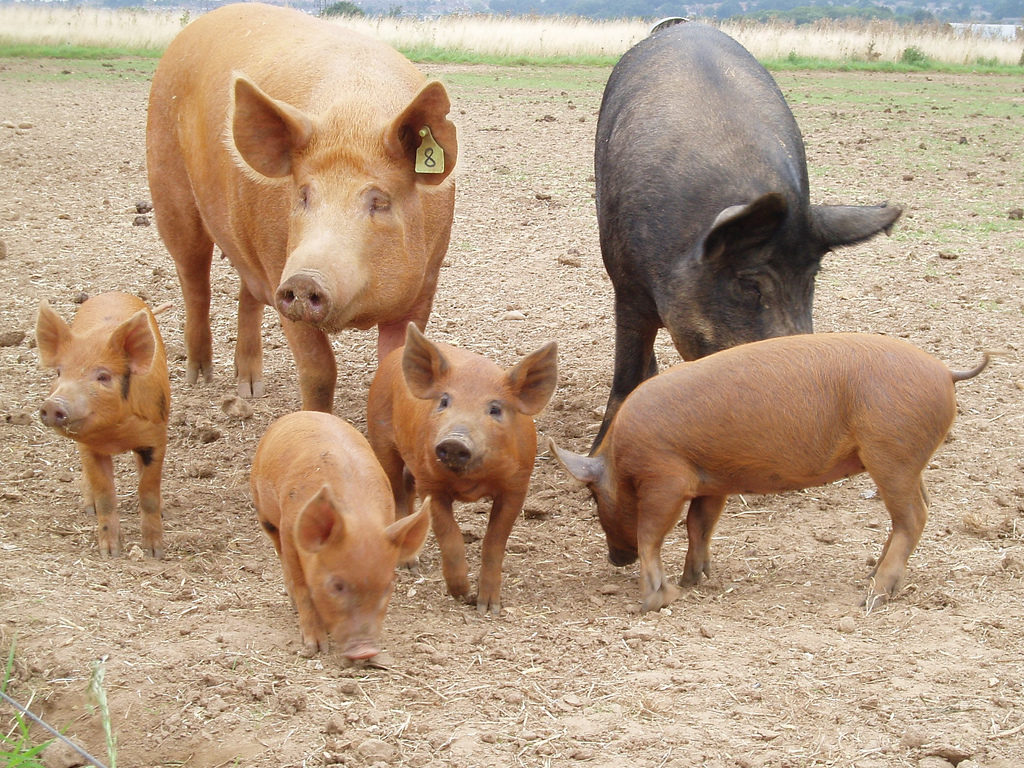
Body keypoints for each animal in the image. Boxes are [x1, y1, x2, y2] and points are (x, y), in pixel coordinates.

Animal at [35, 293, 171, 559]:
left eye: (103, 376)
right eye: (59, 372)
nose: (53, 405)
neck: (115, 435)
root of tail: (113, 293)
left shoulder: (156, 438)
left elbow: (148, 491)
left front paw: (154, 553)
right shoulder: (88, 447)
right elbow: (106, 494)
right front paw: (110, 553)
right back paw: (90, 509)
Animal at [146, 2, 457, 412]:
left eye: (380, 201)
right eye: (304, 195)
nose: (305, 278)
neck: (353, 117)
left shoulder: (425, 283)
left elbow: (394, 367)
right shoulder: (280, 267)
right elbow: (318, 369)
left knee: (246, 294)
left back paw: (249, 388)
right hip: (169, 185)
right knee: (194, 279)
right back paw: (199, 378)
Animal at [250, 410, 430, 660]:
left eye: (387, 587)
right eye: (336, 585)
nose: (365, 650)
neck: (358, 517)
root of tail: (302, 413)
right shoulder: (289, 532)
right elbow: (303, 588)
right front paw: (314, 648)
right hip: (264, 511)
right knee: (278, 551)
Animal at [367, 324, 558, 616]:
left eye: (494, 409)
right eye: (444, 401)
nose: (454, 441)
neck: (471, 482)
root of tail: (395, 355)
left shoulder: (517, 486)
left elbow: (494, 541)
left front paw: (488, 608)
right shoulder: (430, 484)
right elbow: (450, 534)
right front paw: (461, 593)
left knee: (406, 488)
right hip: (381, 437)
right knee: (398, 492)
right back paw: (409, 565)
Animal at [551, 333, 990, 613]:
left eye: (593, 494)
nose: (615, 560)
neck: (620, 458)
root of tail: (945, 372)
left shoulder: (666, 480)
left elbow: (651, 535)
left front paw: (655, 601)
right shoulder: (713, 482)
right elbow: (699, 525)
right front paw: (696, 579)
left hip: (891, 455)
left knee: (914, 516)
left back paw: (873, 596)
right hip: (907, 460)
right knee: (917, 509)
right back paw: (871, 576)